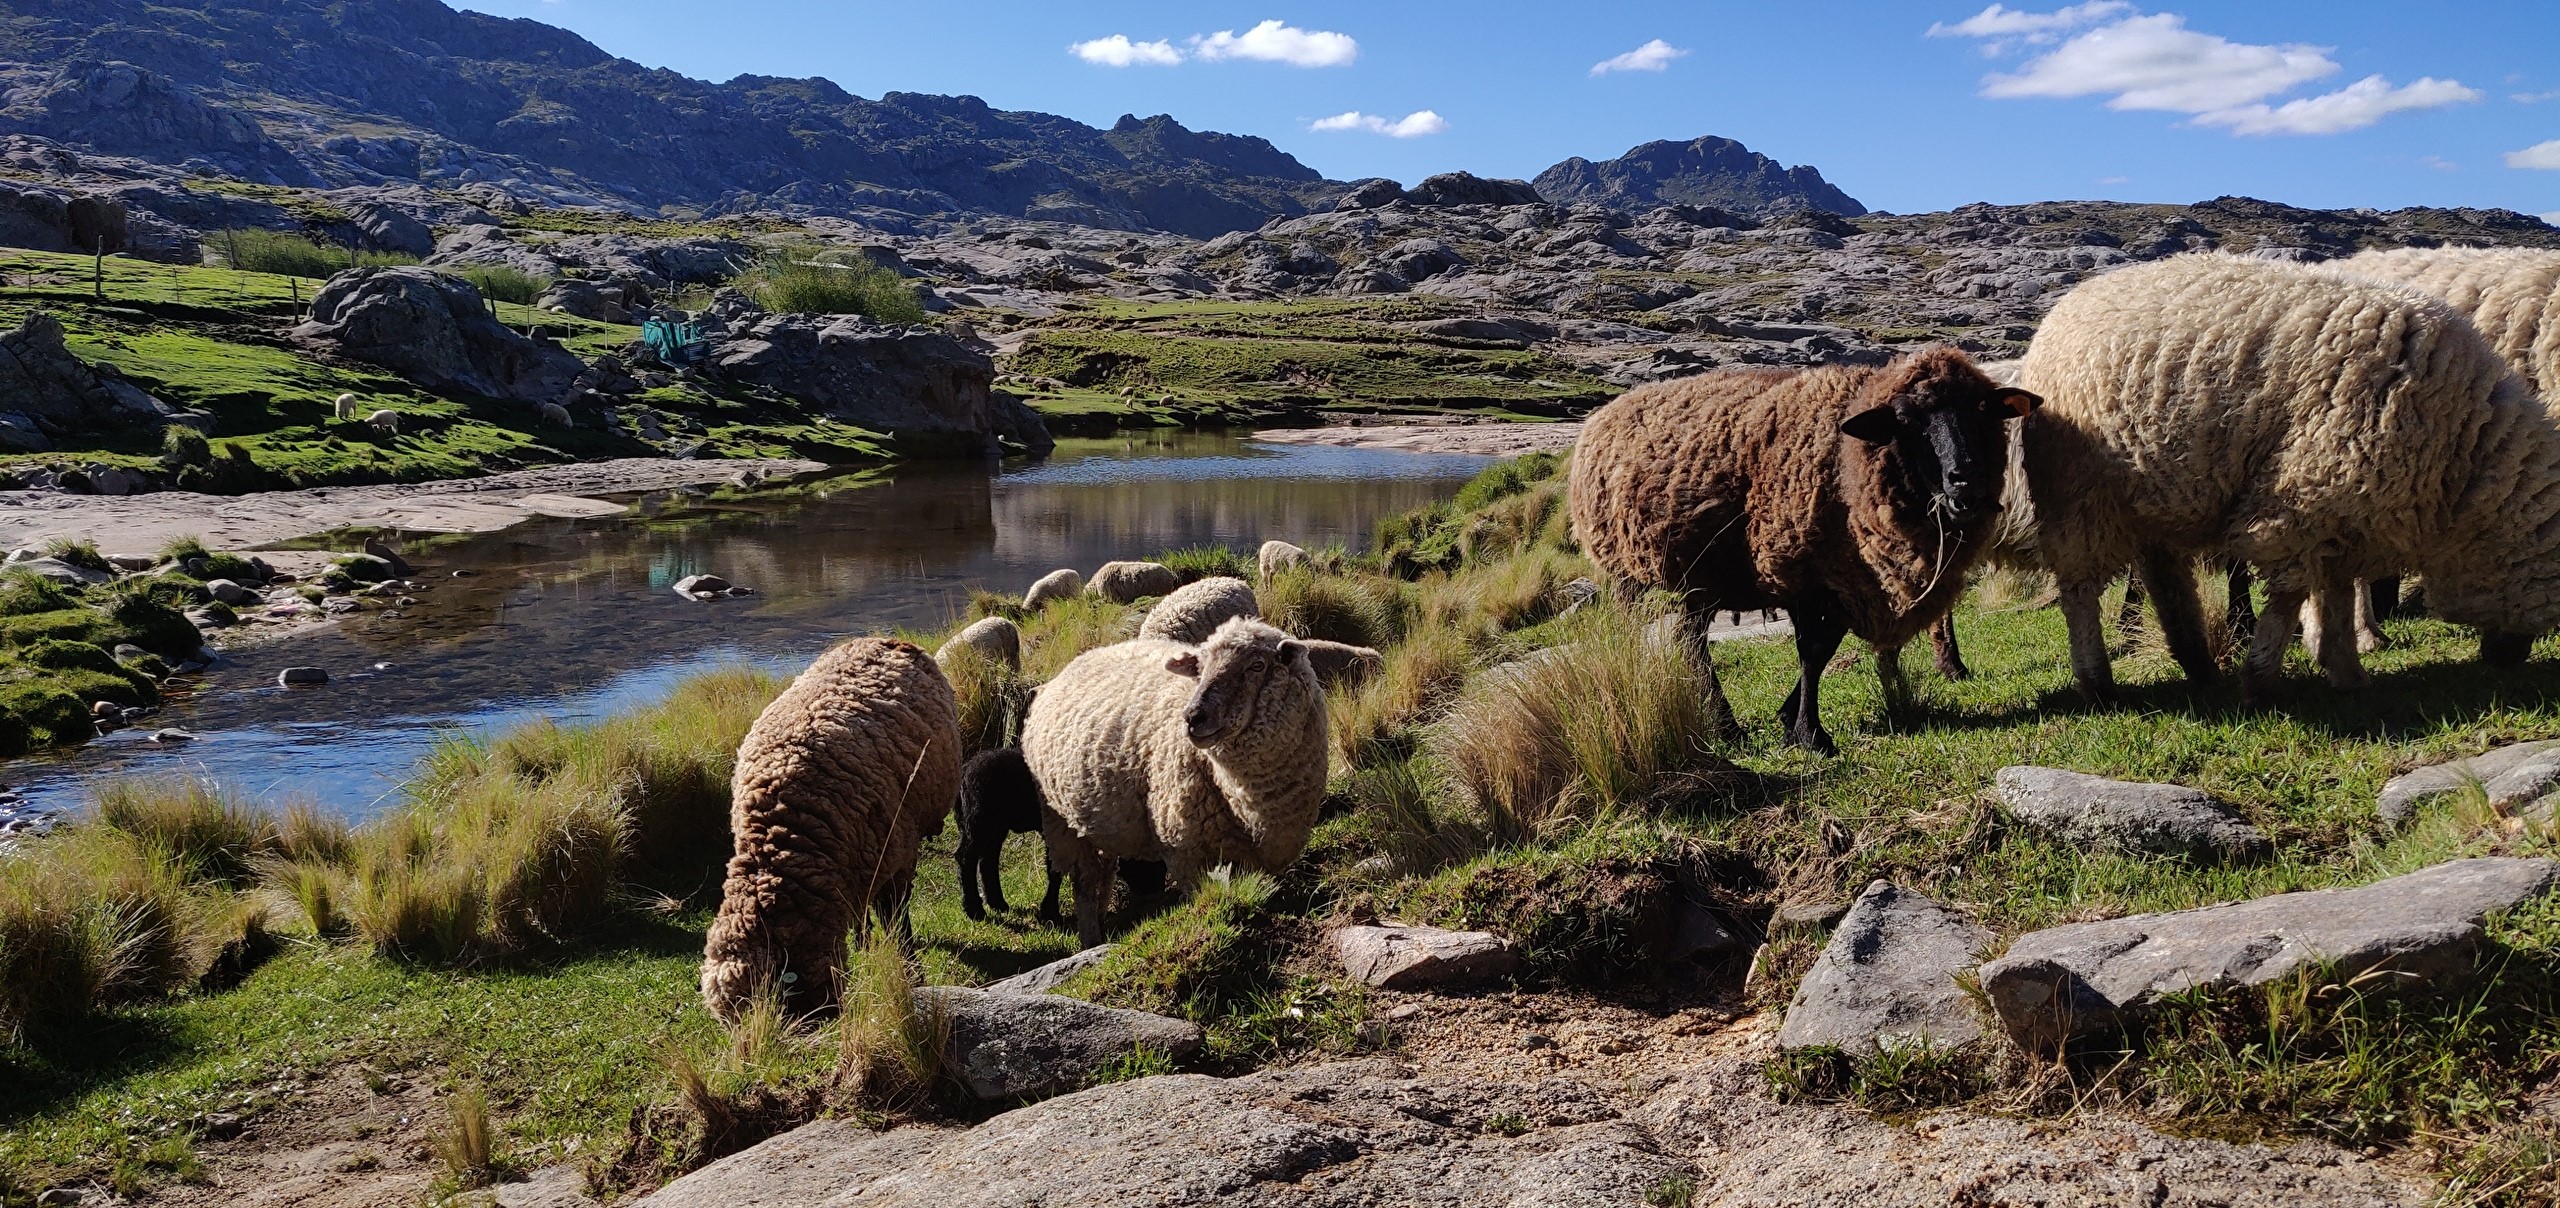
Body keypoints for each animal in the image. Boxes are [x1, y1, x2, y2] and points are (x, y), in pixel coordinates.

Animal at [1022, 617, 1329, 946]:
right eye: (1200, 668)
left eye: (1257, 665)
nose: (1193, 717)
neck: (1247, 800)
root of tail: (1075, 662)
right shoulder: (1184, 850)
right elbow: (1199, 894)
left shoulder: (1261, 854)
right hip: (1061, 822)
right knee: (1085, 882)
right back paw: (1091, 938)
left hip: (1100, 824)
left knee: (1103, 874)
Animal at [1568, 347, 2039, 754]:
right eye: (1906, 420)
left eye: (1983, 411)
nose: (1966, 479)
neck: (1846, 463)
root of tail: (1602, 414)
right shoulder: (1798, 572)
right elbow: (1812, 653)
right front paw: (1811, 735)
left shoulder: (1845, 580)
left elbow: (1826, 647)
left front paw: (1787, 718)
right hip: (1625, 572)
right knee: (1645, 633)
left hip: (1700, 577)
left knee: (1690, 640)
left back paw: (1726, 725)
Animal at [2018, 254, 2560, 703]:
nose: (2504, 660)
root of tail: (2071, 300)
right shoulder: (2302, 495)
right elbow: (2290, 593)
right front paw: (2260, 680)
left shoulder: (2342, 511)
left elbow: (2335, 592)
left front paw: (2344, 668)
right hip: (2079, 492)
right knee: (2080, 589)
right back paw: (2097, 680)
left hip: (2149, 494)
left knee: (2162, 574)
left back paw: (2197, 664)